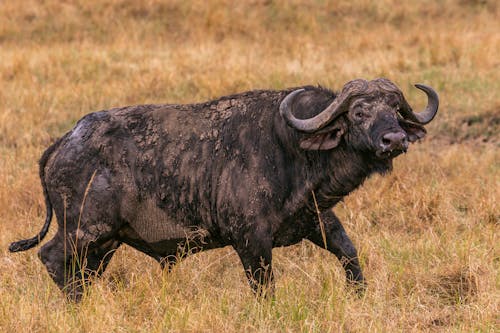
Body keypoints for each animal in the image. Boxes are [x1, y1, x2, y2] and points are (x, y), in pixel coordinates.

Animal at [7, 77, 438, 298]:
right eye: (359, 112)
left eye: (394, 109)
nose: (395, 138)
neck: (293, 148)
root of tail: (64, 142)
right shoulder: (250, 239)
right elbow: (264, 287)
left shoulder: (318, 220)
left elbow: (349, 256)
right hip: (84, 228)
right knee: (52, 258)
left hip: (106, 242)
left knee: (83, 271)